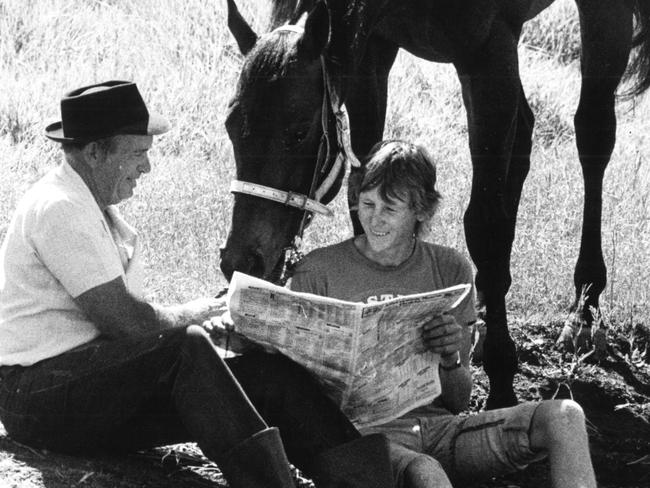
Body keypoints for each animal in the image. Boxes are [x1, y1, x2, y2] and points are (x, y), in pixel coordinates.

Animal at [219, 0, 648, 410]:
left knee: (593, 134)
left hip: (602, 16)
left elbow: (485, 225)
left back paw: (584, 310)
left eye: (298, 132)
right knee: (525, 134)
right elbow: (365, 187)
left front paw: (501, 377)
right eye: (231, 126)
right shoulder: (373, 53)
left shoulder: (488, 53)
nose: (241, 259)